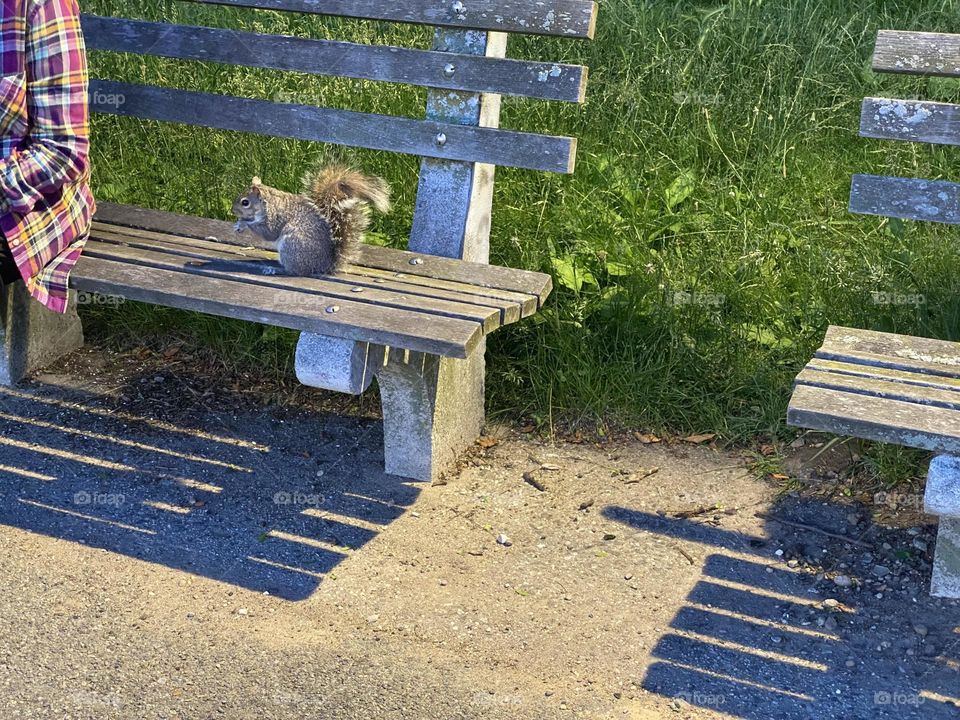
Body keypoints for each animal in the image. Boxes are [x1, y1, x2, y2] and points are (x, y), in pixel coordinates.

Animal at [231, 166, 392, 276]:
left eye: (245, 202)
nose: (233, 210)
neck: (268, 203)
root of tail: (323, 266)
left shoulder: (274, 217)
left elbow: (269, 233)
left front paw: (244, 223)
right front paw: (239, 223)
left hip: (291, 246)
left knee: (295, 271)